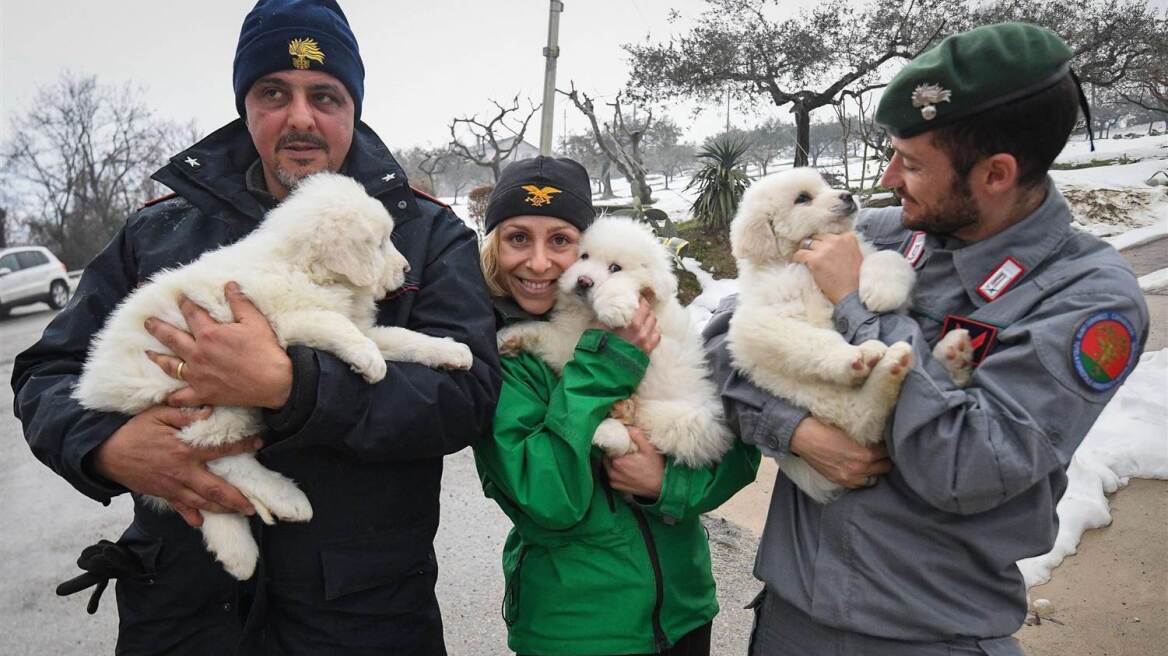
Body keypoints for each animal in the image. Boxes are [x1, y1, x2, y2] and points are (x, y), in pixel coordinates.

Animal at [76, 172, 474, 576]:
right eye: (378, 244)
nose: (407, 269)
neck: (305, 268)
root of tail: (96, 387)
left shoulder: (356, 323)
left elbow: (400, 336)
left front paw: (451, 351)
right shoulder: (281, 323)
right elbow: (334, 325)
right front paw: (369, 360)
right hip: (201, 398)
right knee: (215, 458)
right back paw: (287, 499)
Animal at [497, 217, 733, 466]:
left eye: (615, 268)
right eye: (584, 256)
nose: (583, 281)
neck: (587, 316)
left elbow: (622, 287)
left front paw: (613, 306)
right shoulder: (567, 344)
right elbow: (541, 331)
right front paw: (507, 336)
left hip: (684, 419)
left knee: (643, 435)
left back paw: (609, 429)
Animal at [724, 166, 925, 499]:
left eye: (826, 186)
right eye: (803, 198)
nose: (847, 196)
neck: (799, 261)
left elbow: (888, 258)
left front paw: (880, 293)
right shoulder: (759, 323)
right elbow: (816, 340)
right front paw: (852, 356)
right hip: (811, 394)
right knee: (860, 419)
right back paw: (880, 362)